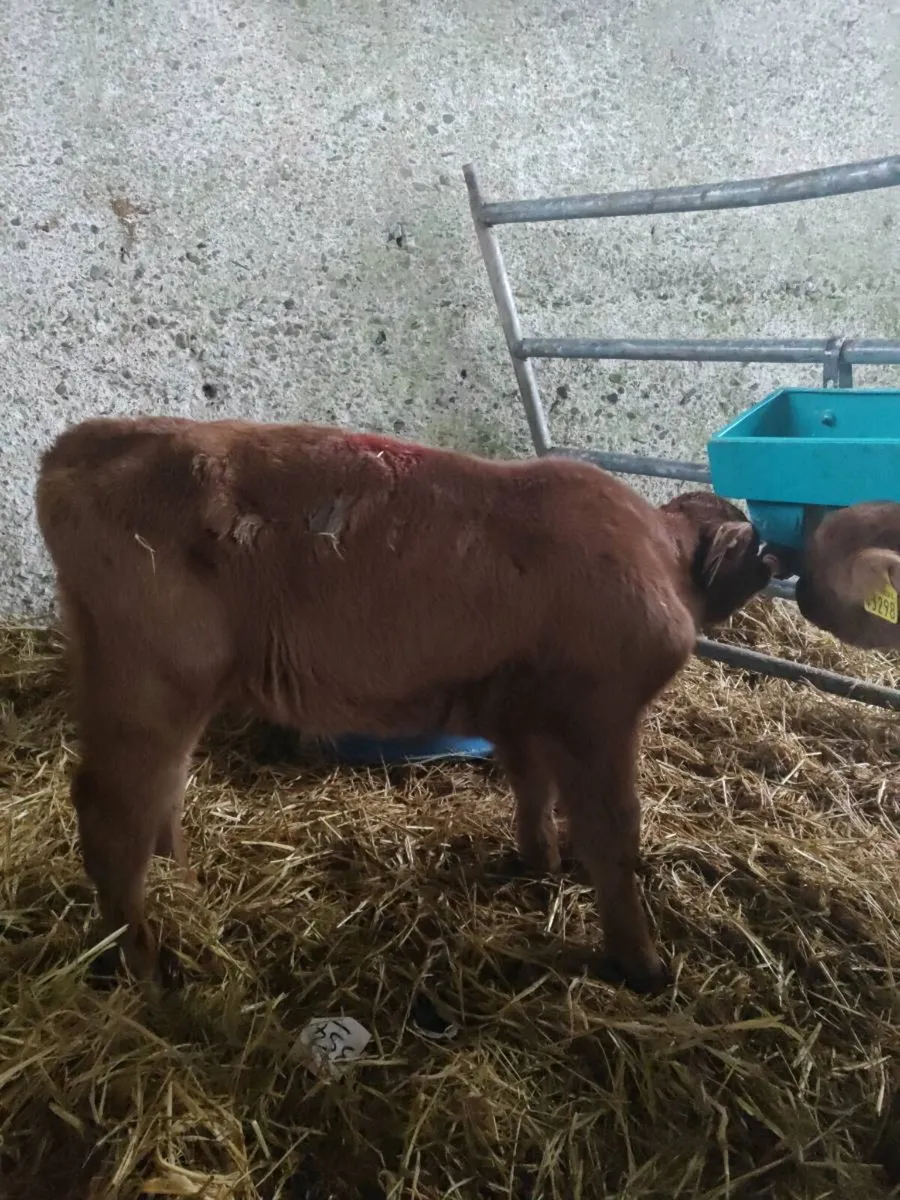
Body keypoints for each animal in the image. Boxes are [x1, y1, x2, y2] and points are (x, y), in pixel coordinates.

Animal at [35, 415, 777, 994]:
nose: (779, 562)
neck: (657, 555)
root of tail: (90, 438)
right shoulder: (599, 715)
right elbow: (614, 835)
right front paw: (642, 964)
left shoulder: (517, 709)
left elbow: (531, 785)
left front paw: (538, 859)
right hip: (151, 686)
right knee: (110, 809)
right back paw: (141, 965)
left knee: (159, 795)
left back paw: (181, 885)